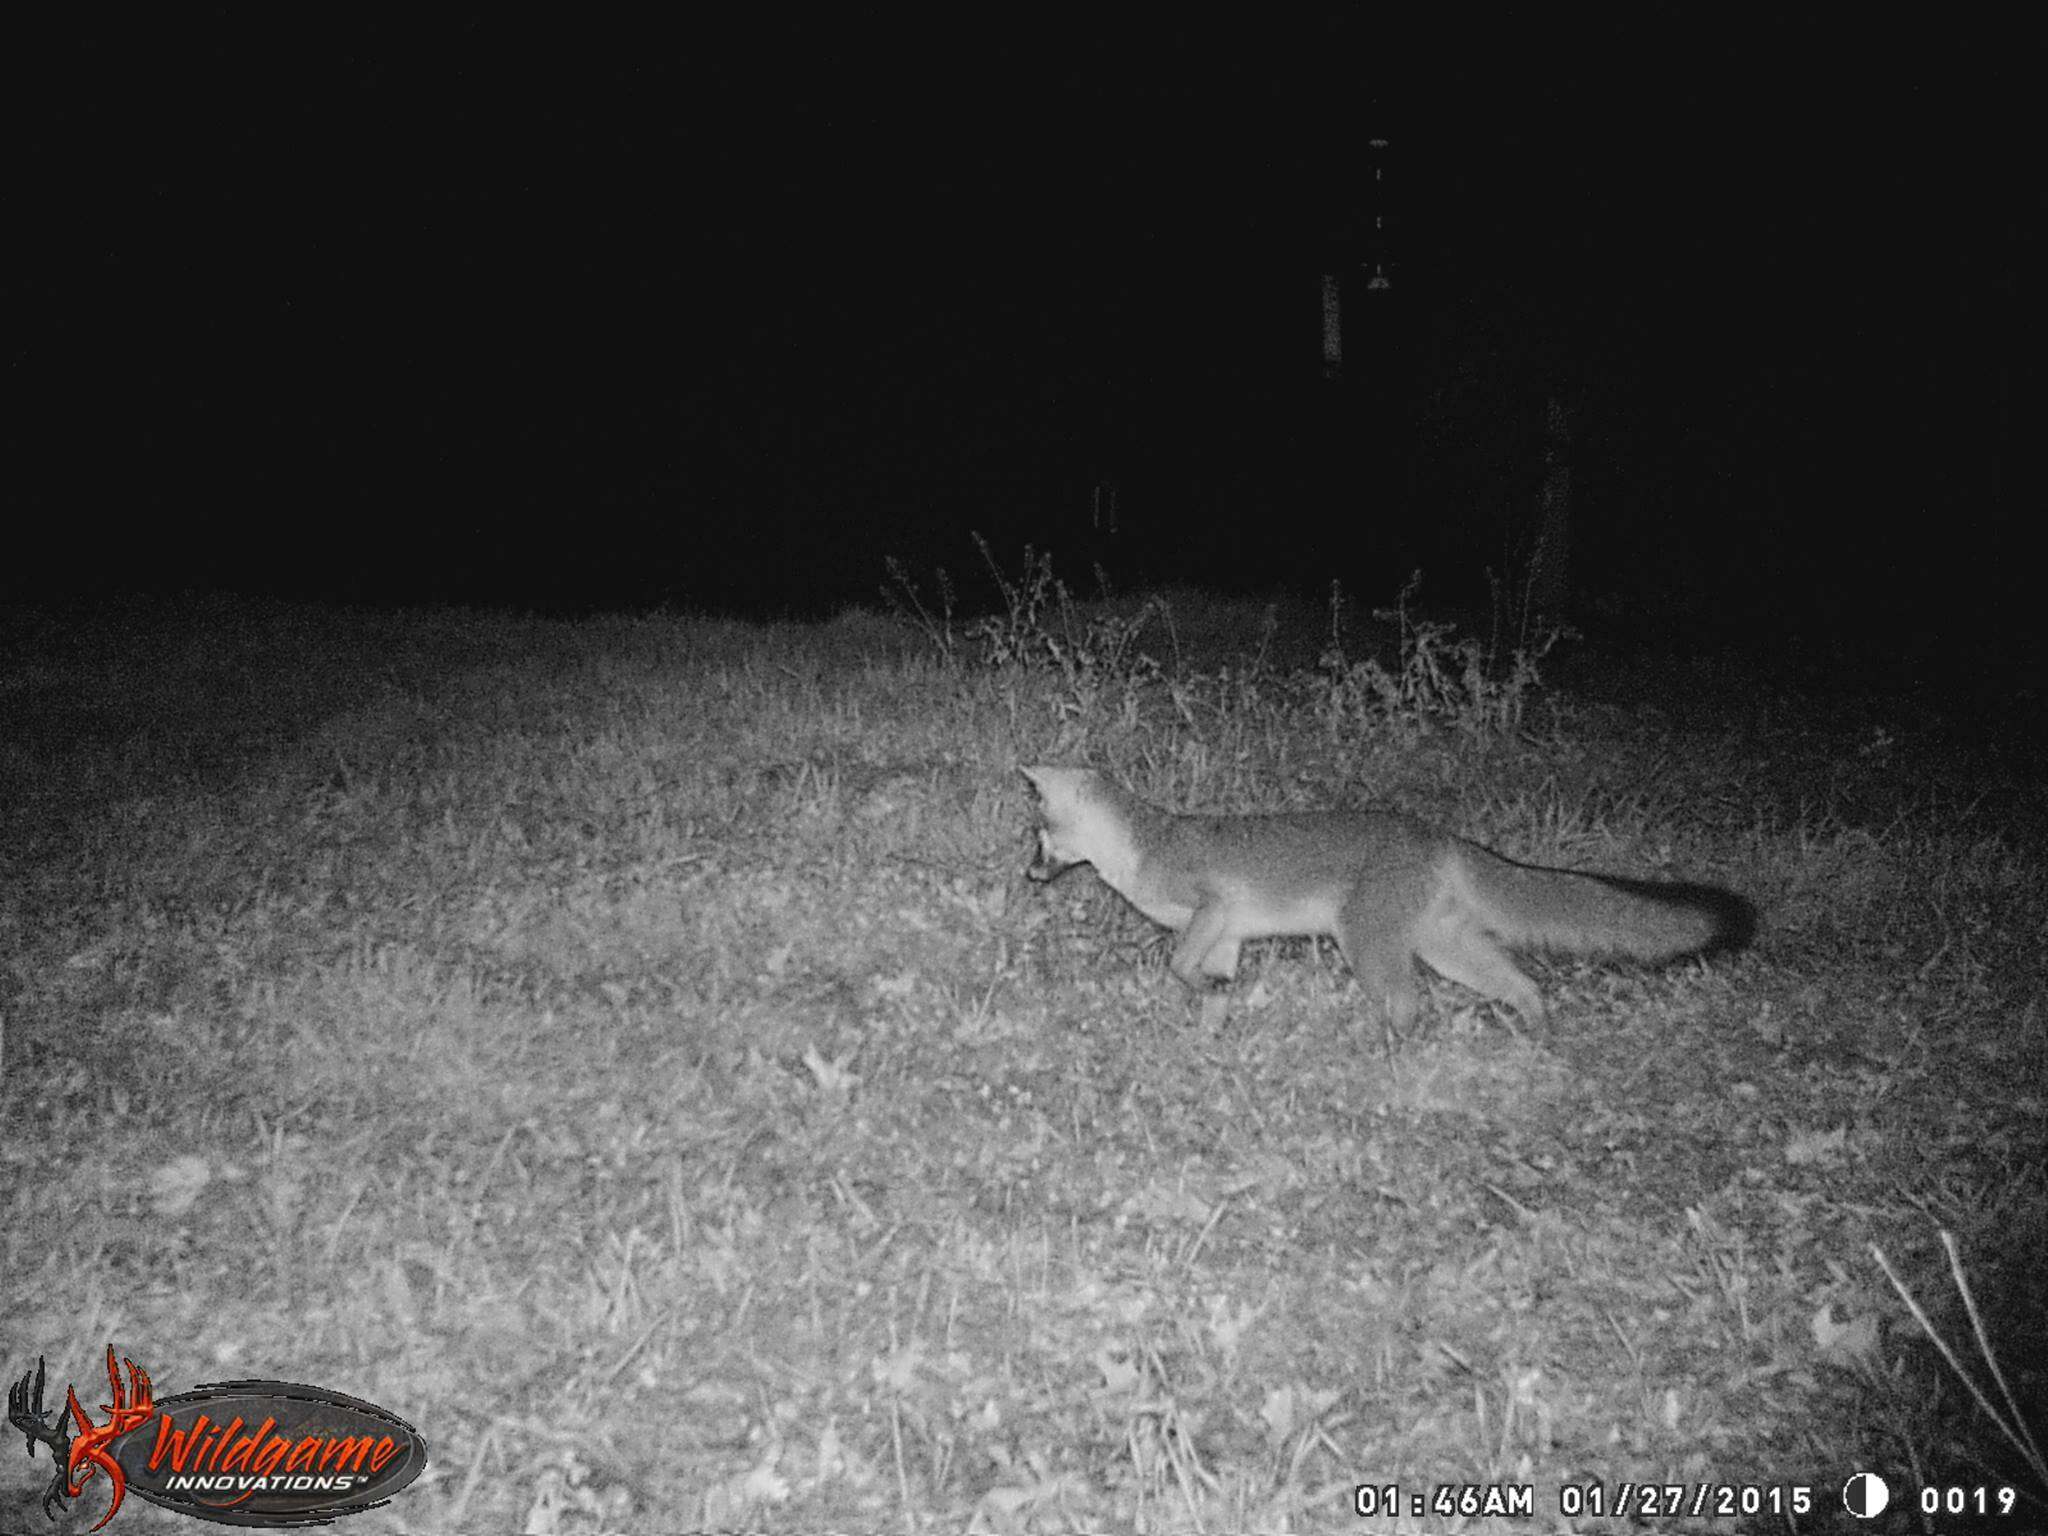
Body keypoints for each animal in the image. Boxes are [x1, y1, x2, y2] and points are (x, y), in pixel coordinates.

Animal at [1015, 765, 1753, 1028]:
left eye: (1041, 836)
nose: (1027, 876)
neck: (1143, 846)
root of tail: (1441, 835)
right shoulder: (1224, 938)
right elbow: (1208, 990)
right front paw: (1210, 1032)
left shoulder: (1213, 909)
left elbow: (1174, 965)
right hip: (1445, 949)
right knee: (1524, 986)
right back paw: (1535, 1037)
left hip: (1368, 946)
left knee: (1407, 1003)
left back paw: (1389, 1059)